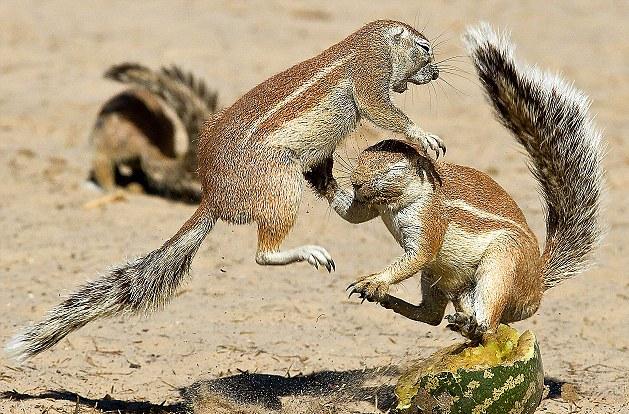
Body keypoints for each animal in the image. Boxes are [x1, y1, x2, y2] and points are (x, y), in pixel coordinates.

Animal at [7, 20, 444, 362]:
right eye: (424, 48)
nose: (437, 74)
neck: (371, 43)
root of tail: (213, 197)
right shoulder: (370, 76)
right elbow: (383, 111)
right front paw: (425, 135)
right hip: (280, 187)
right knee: (263, 254)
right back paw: (308, 251)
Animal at [310, 22, 604, 340]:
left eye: (393, 170)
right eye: (360, 158)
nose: (357, 184)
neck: (399, 202)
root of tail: (536, 283)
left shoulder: (430, 221)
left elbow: (417, 255)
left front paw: (374, 280)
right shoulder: (375, 206)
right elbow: (353, 215)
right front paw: (319, 174)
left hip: (502, 264)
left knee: (487, 325)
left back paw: (469, 323)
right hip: (440, 277)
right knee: (431, 316)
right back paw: (396, 302)